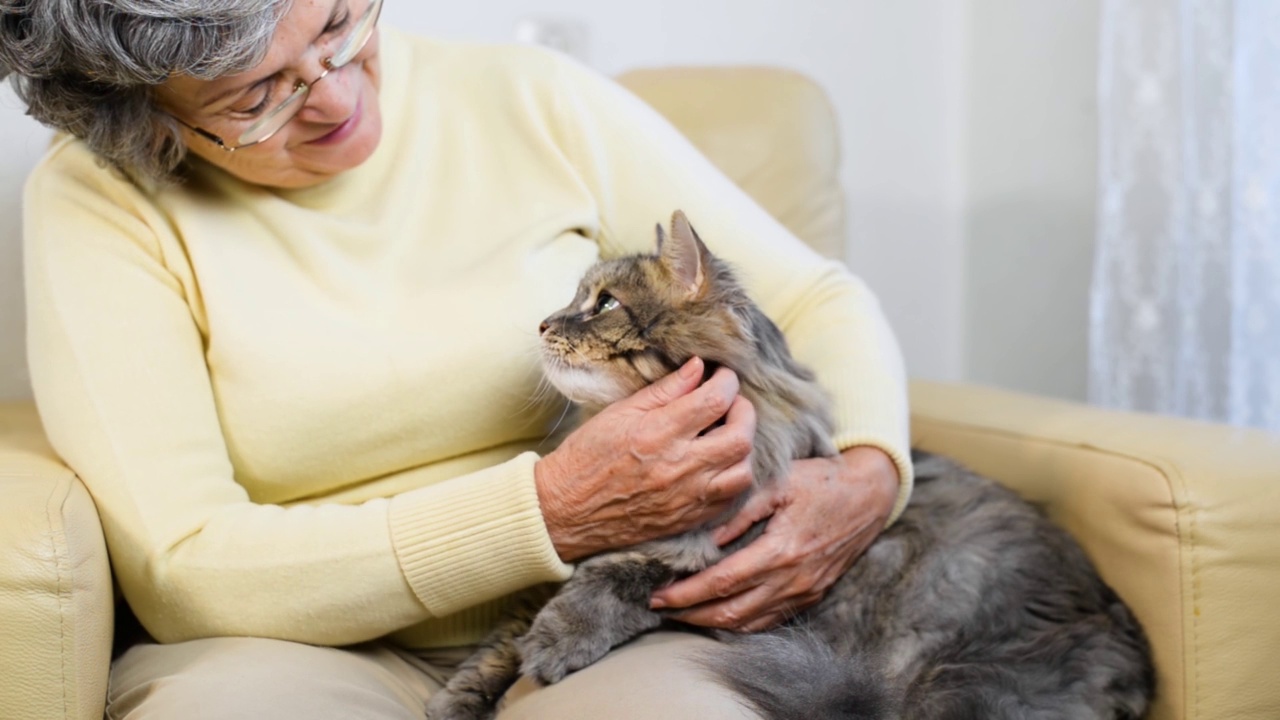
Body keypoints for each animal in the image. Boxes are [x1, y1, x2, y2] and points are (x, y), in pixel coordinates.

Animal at [427, 208, 1152, 717]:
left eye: (603, 303)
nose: (545, 325)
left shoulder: (703, 563)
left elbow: (614, 582)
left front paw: (557, 643)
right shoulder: (560, 564)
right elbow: (499, 643)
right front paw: (456, 698)